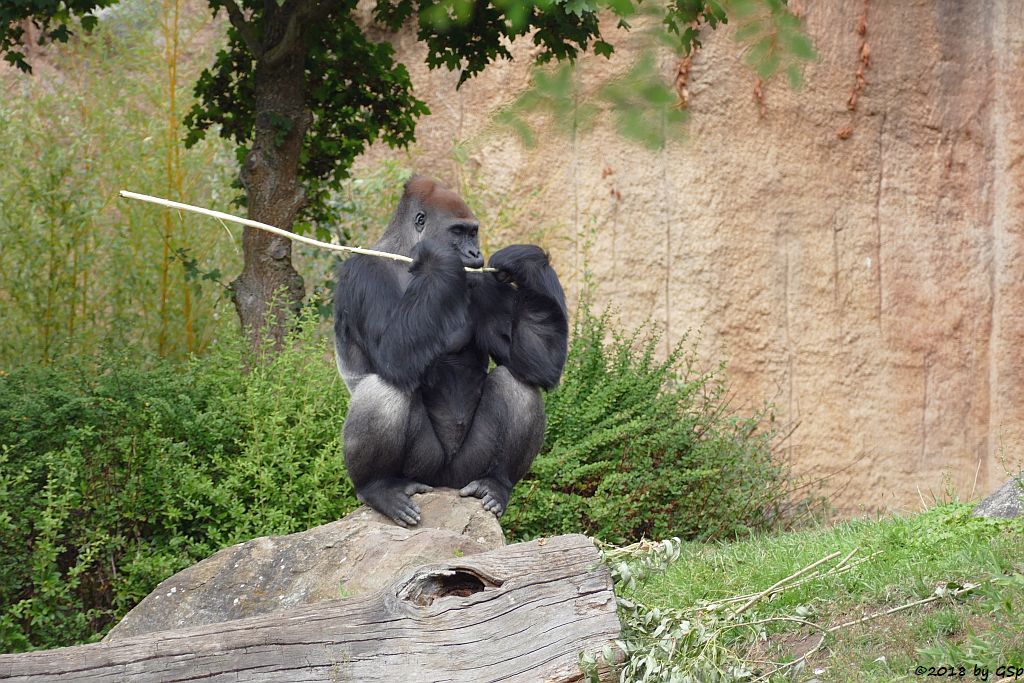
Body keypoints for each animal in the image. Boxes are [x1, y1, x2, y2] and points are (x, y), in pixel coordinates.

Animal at [331, 178, 569, 528]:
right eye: (457, 232)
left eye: (473, 233)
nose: (474, 252)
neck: (403, 255)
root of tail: (444, 485)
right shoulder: (364, 273)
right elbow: (393, 357)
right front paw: (439, 257)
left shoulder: (482, 281)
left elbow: (539, 362)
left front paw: (527, 261)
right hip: (424, 471)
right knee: (385, 386)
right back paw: (378, 486)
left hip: (464, 473)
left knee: (519, 383)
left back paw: (496, 483)